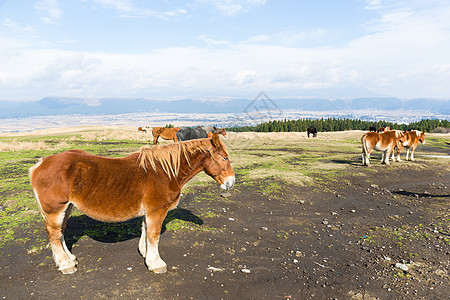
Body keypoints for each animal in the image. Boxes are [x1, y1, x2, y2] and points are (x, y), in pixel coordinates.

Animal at [29, 134, 236, 274]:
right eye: (224, 157)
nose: (231, 182)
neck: (164, 172)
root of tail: (40, 165)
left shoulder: (149, 212)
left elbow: (145, 231)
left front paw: (145, 254)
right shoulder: (156, 211)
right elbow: (154, 235)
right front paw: (156, 263)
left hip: (67, 207)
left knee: (60, 232)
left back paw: (69, 258)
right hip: (56, 209)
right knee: (54, 234)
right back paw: (66, 265)